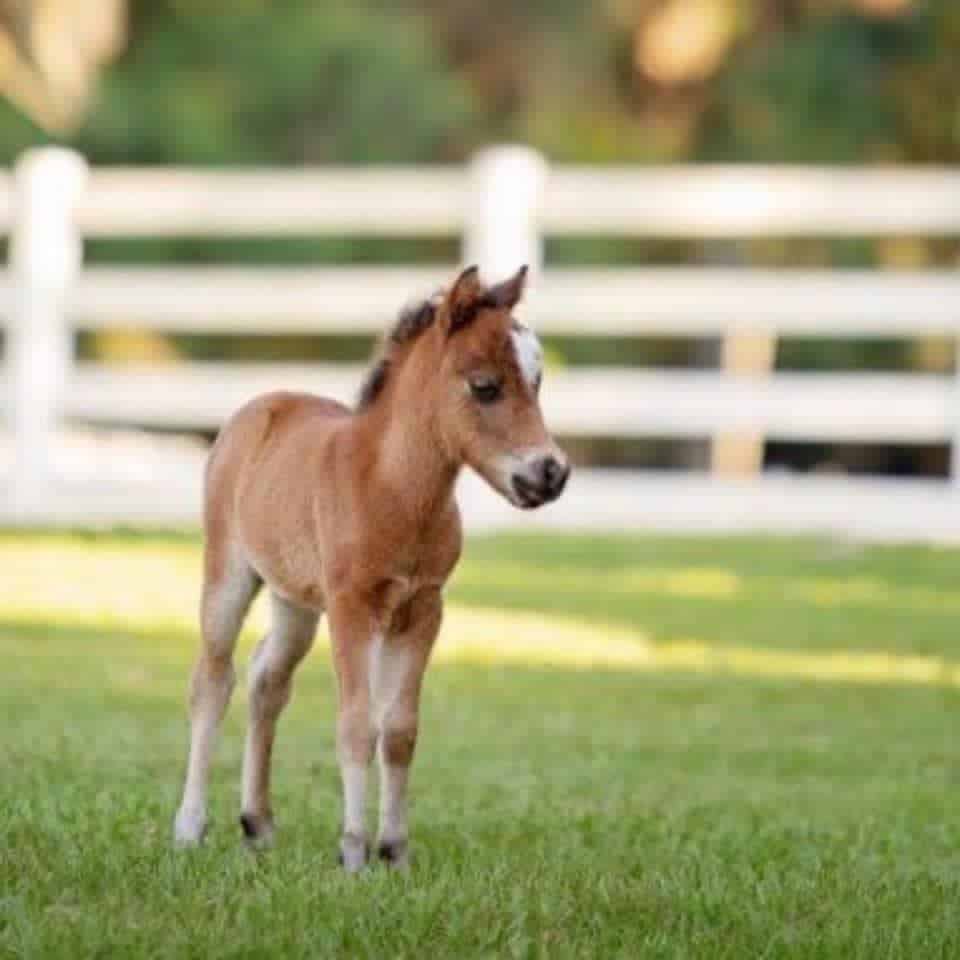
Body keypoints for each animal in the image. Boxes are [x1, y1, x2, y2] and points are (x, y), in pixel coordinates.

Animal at [173, 264, 570, 870]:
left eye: (539, 381)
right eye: (485, 386)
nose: (550, 473)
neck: (393, 488)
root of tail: (263, 403)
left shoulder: (422, 607)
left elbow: (400, 730)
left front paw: (395, 851)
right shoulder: (352, 606)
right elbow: (357, 723)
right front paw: (355, 851)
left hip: (295, 601)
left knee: (268, 679)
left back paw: (257, 823)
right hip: (229, 574)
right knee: (213, 681)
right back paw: (191, 826)